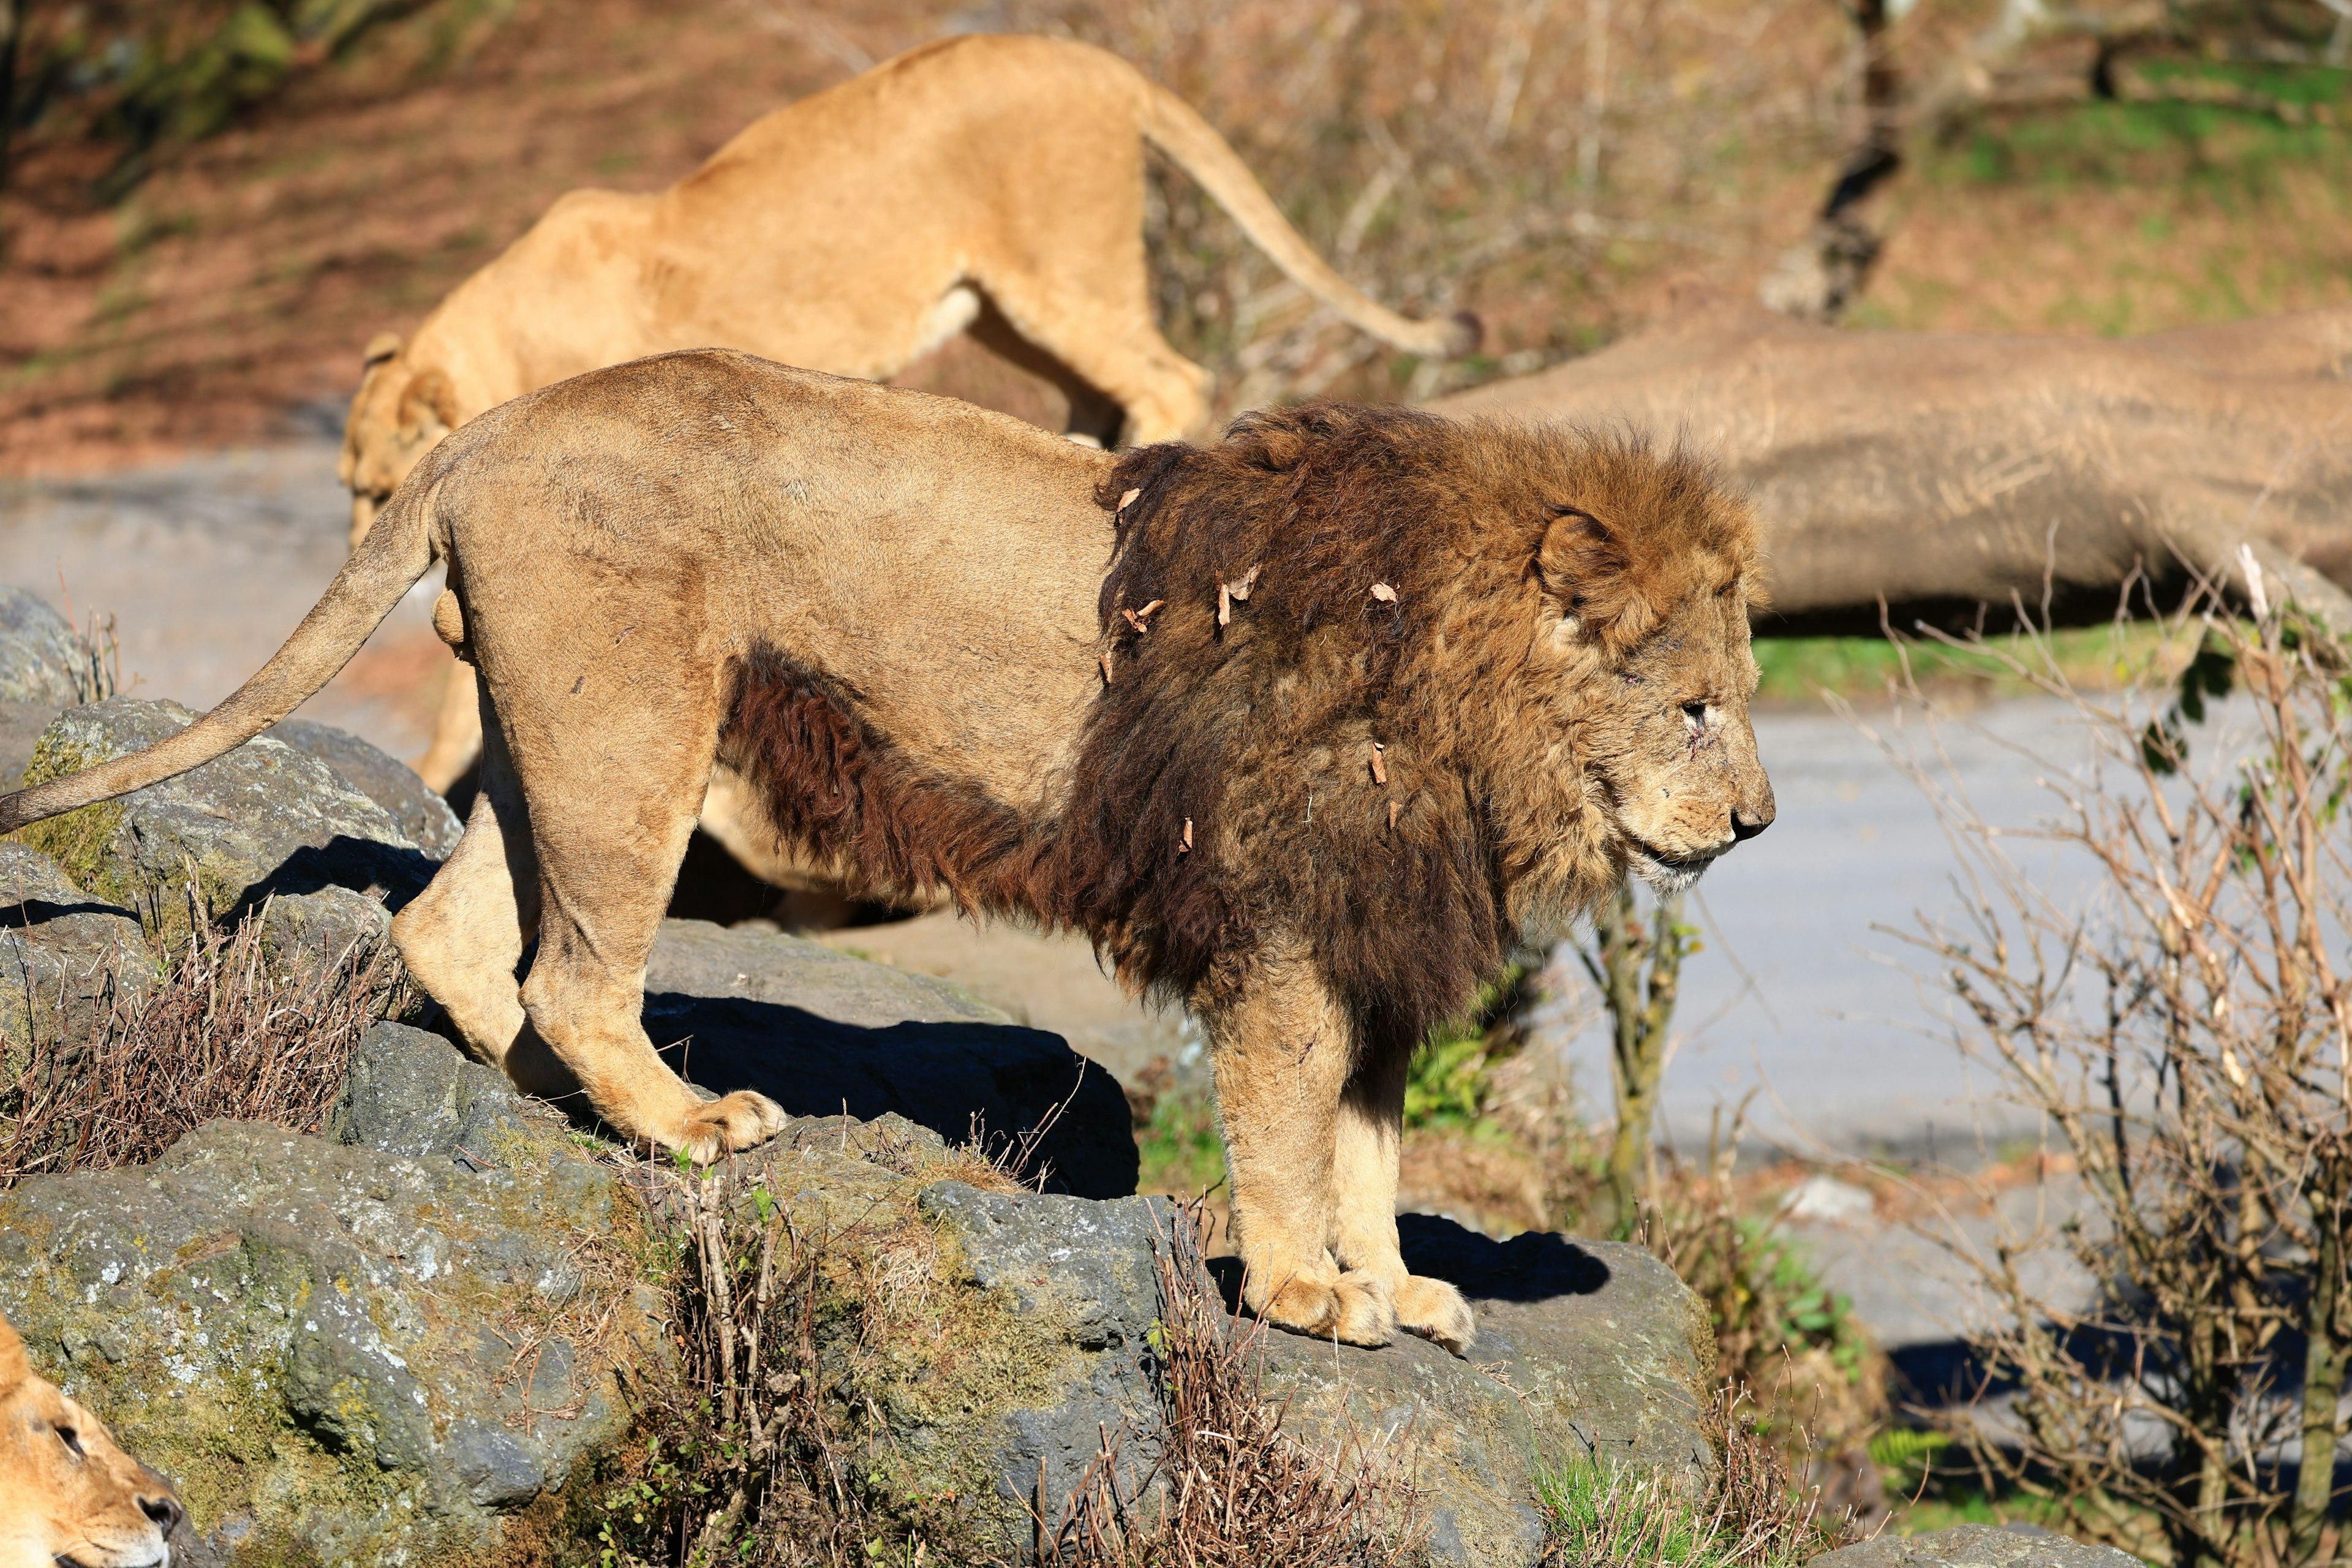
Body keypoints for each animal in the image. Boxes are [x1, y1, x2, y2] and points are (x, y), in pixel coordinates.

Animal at [0, 350, 1768, 1354]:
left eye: (1746, 700)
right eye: (1692, 705)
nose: (1757, 822)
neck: (1478, 728)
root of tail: (489, 425)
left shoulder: (1375, 941)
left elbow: (1374, 1159)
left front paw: (1393, 1286)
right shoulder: (1280, 929)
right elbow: (1286, 1138)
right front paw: (1301, 1294)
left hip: (554, 723)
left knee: (454, 929)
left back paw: (557, 1094)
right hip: (639, 723)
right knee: (576, 967)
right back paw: (684, 1122)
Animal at [341, 34, 1477, 799]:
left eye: (377, 488)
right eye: (348, 491)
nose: (363, 550)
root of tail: (1094, 57)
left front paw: (437, 765)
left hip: (1059, 270)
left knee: (1170, 374)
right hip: (1002, 304)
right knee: (1094, 395)